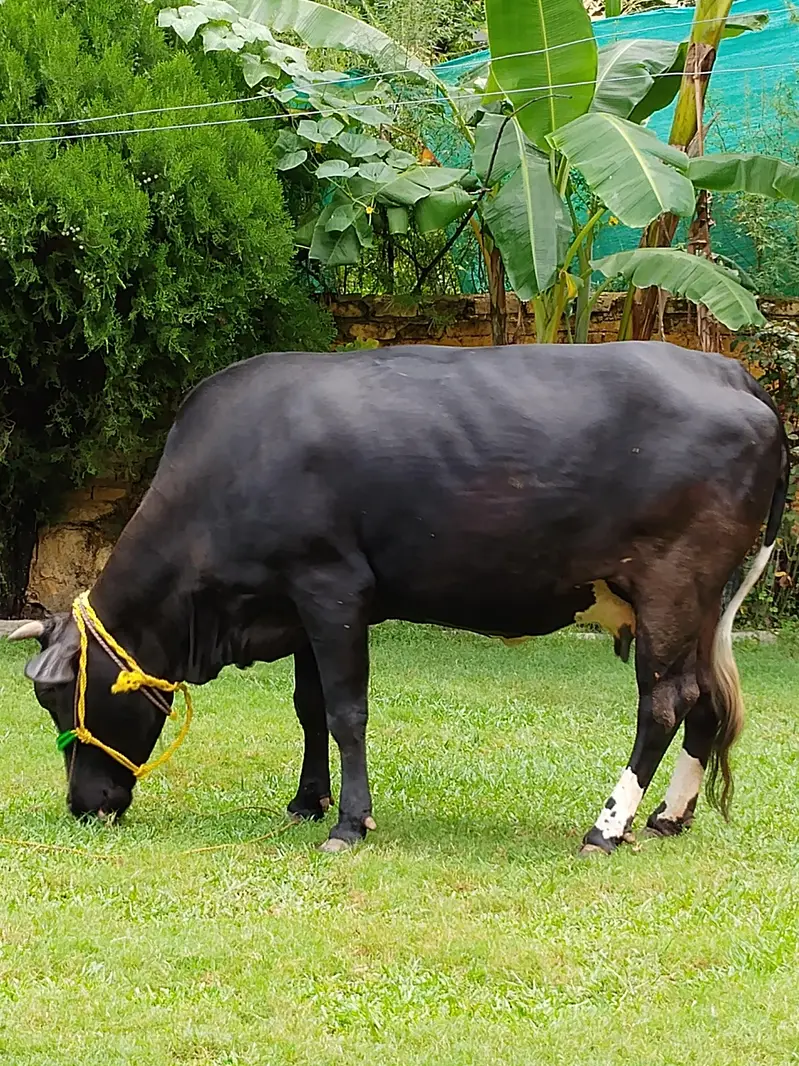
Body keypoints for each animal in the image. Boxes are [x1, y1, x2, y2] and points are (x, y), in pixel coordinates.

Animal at [8, 342, 788, 855]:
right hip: (700, 604)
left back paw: (607, 826)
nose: (83, 805)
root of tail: (725, 369)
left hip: (671, 586)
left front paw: (349, 824)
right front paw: (307, 801)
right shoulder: (294, 606)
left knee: (663, 702)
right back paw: (668, 816)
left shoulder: (332, 587)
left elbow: (347, 711)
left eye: (61, 697)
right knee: (704, 697)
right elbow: (309, 707)